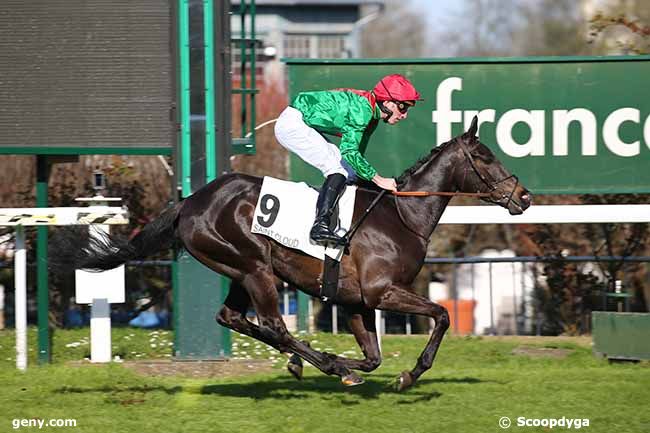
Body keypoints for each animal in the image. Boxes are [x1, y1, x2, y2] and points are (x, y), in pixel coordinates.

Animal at [53, 115, 528, 392]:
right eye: (485, 156)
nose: (523, 196)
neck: (401, 214)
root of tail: (189, 202)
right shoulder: (381, 292)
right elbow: (442, 316)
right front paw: (408, 374)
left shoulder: (356, 301)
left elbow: (373, 356)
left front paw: (352, 361)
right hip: (254, 267)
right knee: (275, 326)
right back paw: (327, 365)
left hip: (239, 270)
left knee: (233, 318)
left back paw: (309, 361)